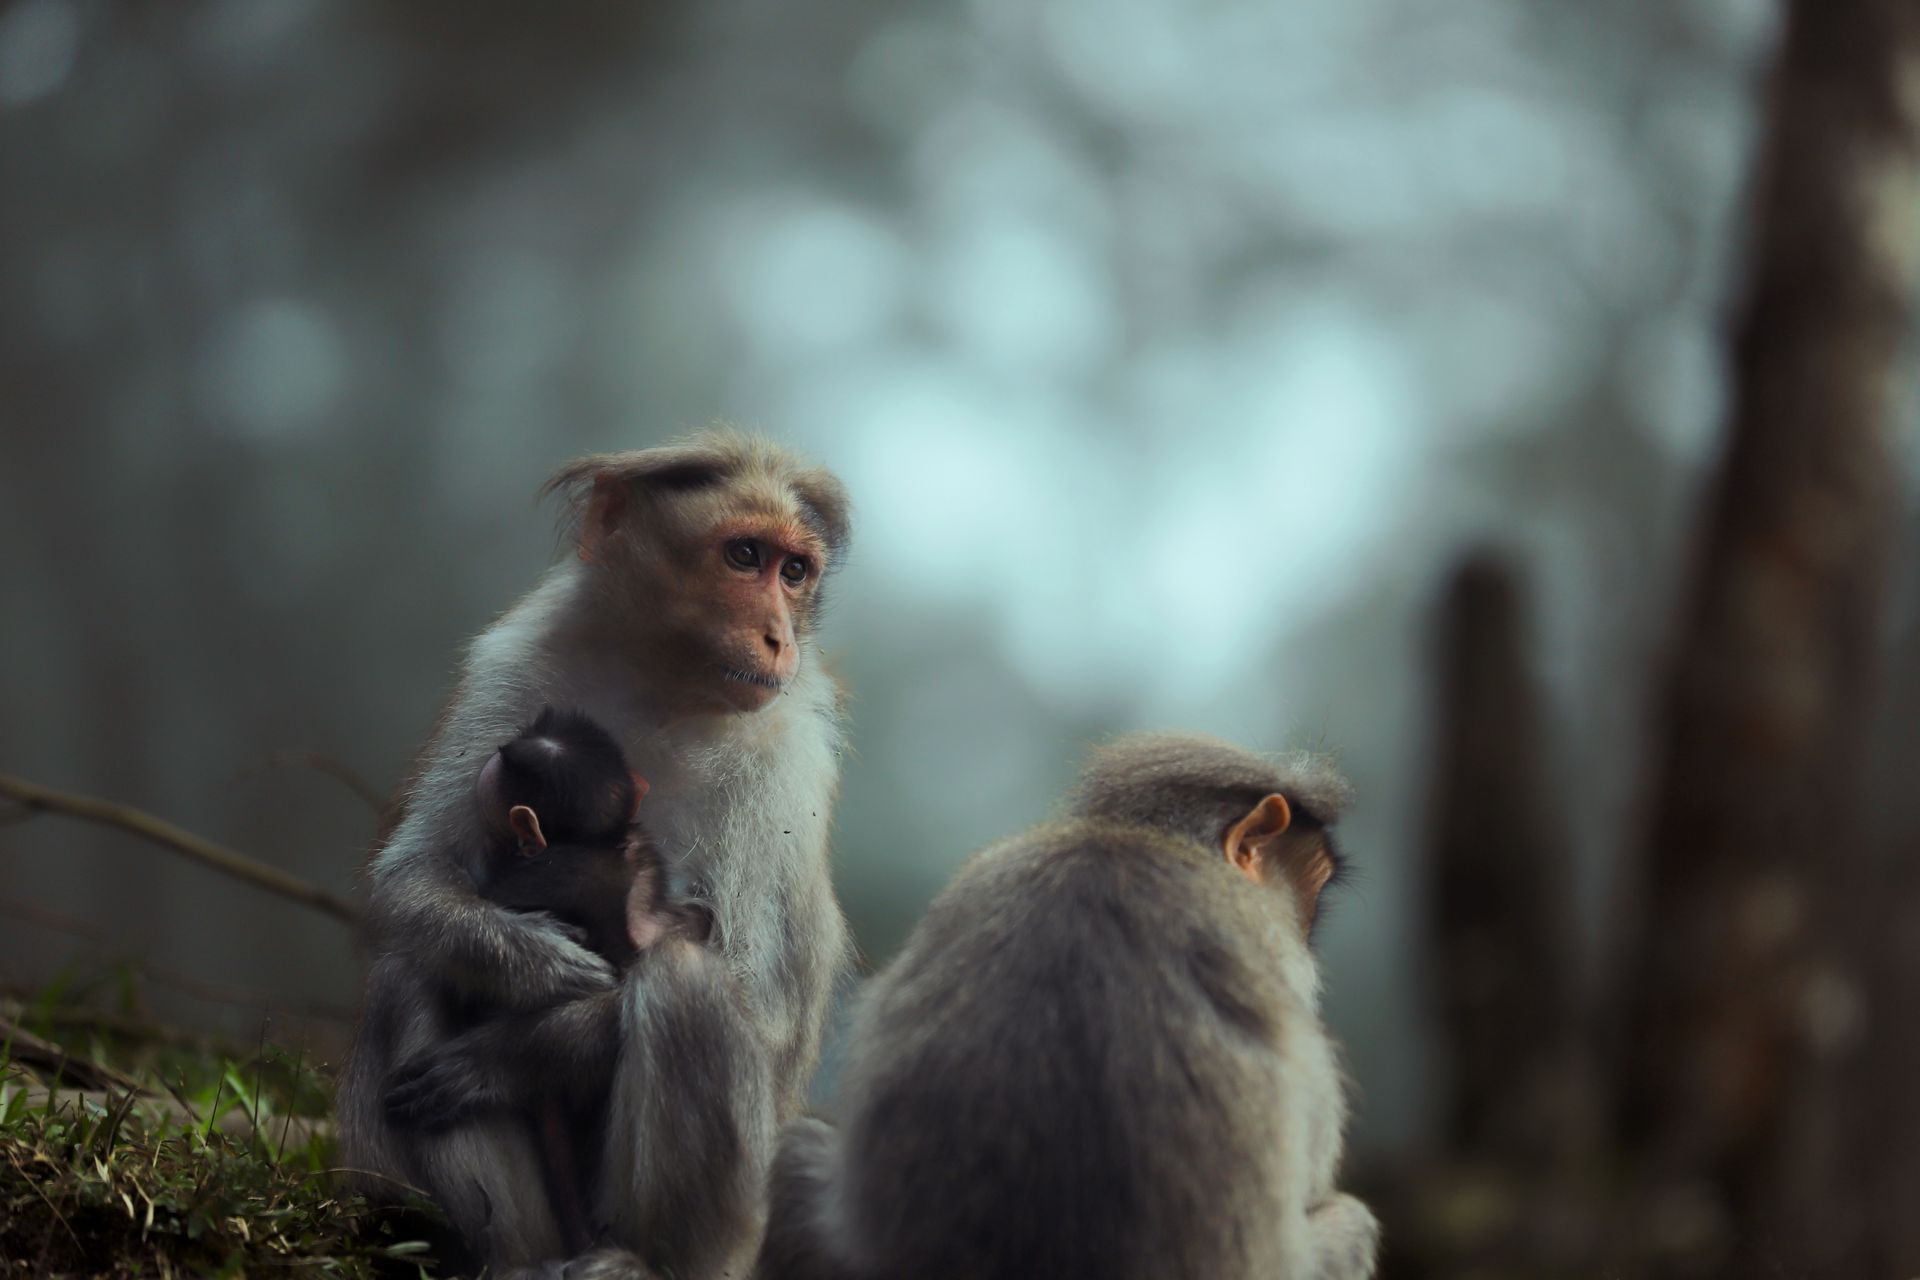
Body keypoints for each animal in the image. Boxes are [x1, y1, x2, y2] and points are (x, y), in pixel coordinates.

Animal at [336, 433, 854, 1280]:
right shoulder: (514, 666)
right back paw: (511, 1260)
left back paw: (643, 1262)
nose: (779, 636)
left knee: (686, 985)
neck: (664, 685)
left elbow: (761, 1000)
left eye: (795, 571)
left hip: (732, 1236)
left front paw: (525, 1050)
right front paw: (534, 965)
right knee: (413, 970)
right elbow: (413, 877)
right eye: (745, 555)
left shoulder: (784, 766)